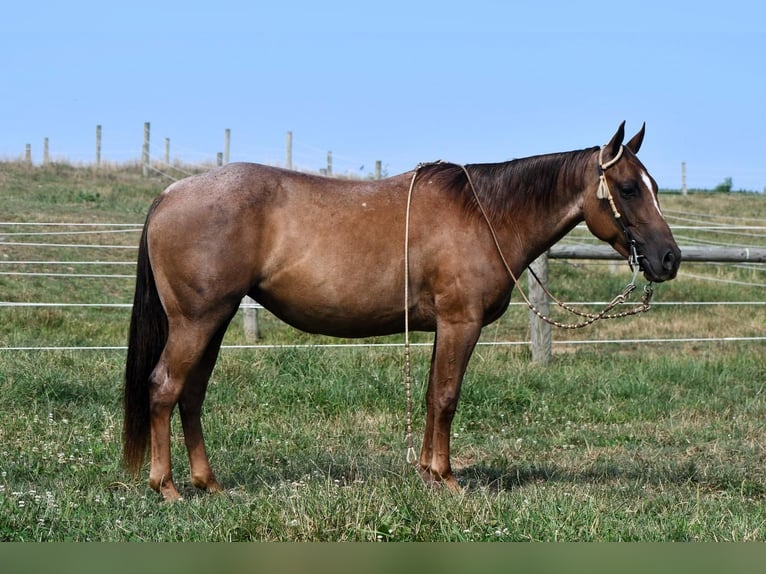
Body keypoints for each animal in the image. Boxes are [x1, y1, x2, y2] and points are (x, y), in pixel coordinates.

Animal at [126, 121, 684, 500]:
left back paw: (208, 483)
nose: (669, 259)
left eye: (655, 187)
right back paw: (167, 487)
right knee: (164, 388)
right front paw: (446, 478)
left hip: (213, 323)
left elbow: (432, 396)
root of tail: (169, 194)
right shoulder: (461, 324)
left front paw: (426, 472)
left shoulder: (443, 327)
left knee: (191, 395)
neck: (485, 214)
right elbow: (447, 397)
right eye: (628, 188)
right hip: (196, 323)